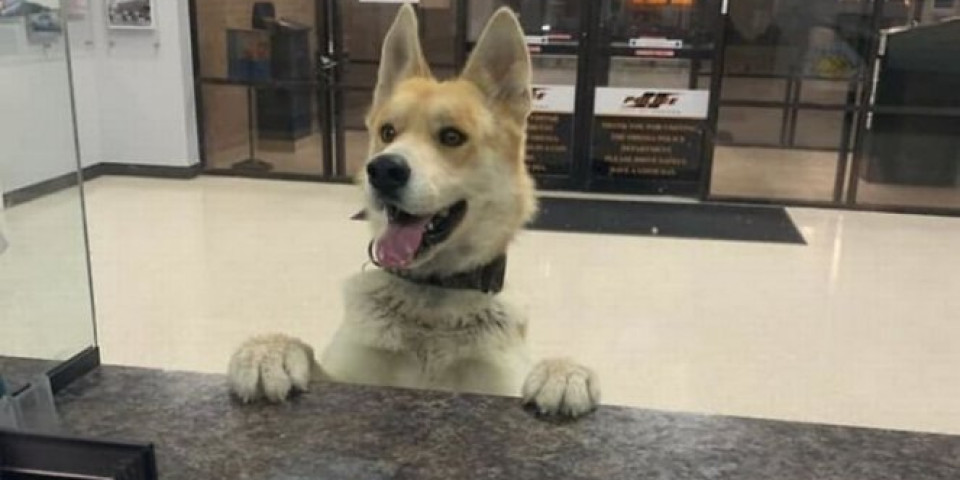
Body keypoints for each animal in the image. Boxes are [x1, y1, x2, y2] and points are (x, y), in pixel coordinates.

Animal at [227, 5, 600, 417]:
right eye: (388, 132)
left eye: (452, 136)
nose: (383, 170)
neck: (433, 293)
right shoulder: (348, 375)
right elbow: (307, 353)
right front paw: (269, 350)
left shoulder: (498, 386)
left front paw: (563, 371)